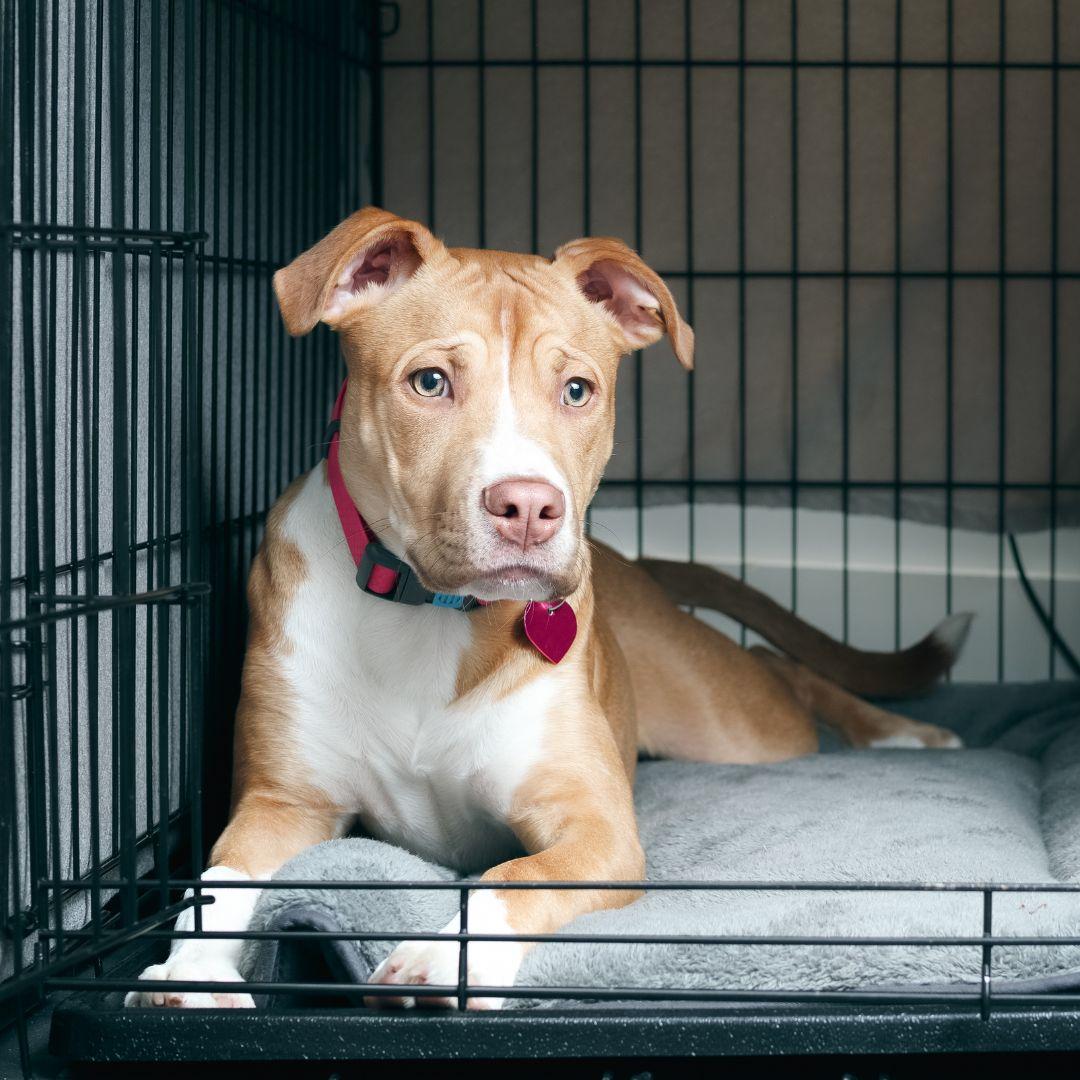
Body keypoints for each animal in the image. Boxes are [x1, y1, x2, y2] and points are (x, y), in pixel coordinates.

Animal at [128, 206, 972, 1006]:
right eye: (429, 383)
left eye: (577, 391)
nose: (530, 508)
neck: (432, 614)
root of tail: (639, 568)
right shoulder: (280, 805)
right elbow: (215, 883)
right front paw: (190, 968)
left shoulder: (595, 828)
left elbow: (511, 876)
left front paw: (444, 957)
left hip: (734, 726)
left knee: (779, 668)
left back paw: (907, 735)